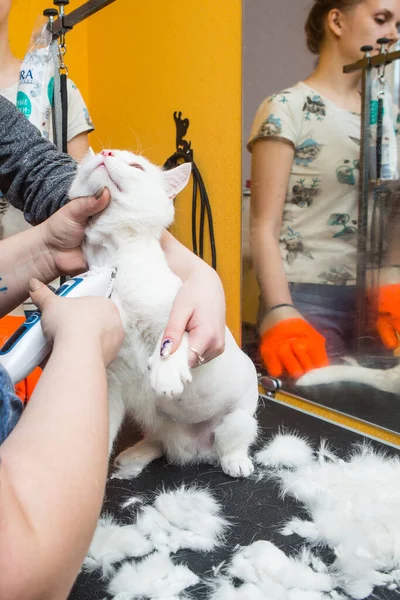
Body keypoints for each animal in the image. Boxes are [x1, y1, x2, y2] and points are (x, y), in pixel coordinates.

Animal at [68, 149, 260, 478]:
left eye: (136, 165)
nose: (106, 152)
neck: (114, 258)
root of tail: (194, 452)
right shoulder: (111, 382)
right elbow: (102, 436)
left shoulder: (183, 314)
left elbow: (176, 338)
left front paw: (167, 371)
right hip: (155, 420)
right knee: (160, 443)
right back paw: (134, 456)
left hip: (238, 420)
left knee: (230, 444)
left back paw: (235, 461)